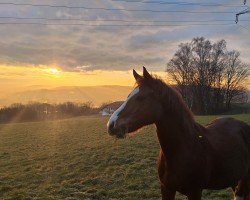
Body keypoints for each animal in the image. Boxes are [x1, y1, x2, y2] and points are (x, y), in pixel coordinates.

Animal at [106, 67, 250, 200]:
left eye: (141, 98)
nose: (111, 125)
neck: (183, 149)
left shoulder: (195, 192)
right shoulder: (166, 189)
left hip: (244, 179)